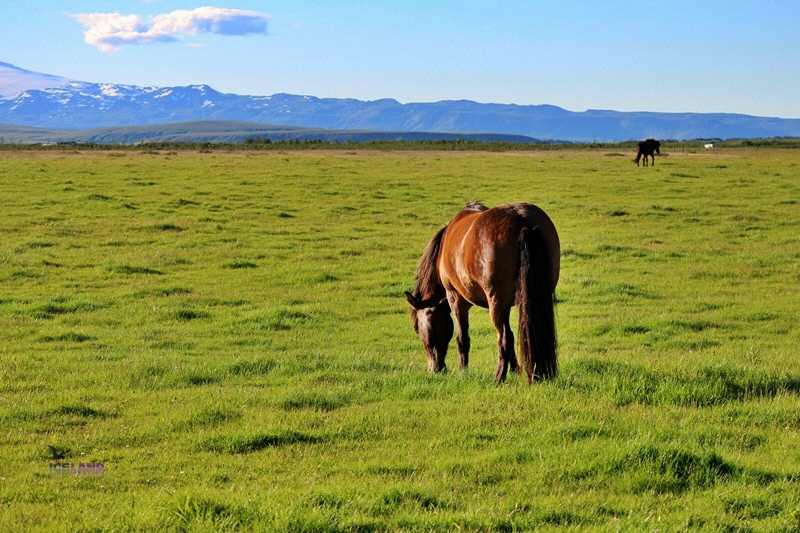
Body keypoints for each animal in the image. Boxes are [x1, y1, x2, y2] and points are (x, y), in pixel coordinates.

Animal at [404, 201, 560, 382]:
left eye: (416, 328)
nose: (435, 369)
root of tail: (522, 221)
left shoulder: (455, 299)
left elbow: (462, 338)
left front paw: (462, 371)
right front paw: (515, 370)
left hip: (496, 301)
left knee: (504, 339)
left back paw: (498, 378)